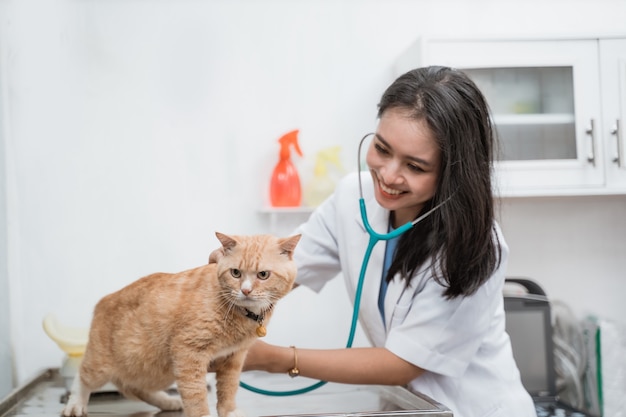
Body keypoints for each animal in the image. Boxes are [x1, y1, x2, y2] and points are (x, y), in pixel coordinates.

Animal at [62, 232, 302, 416]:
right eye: (236, 273)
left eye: (263, 274)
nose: (246, 290)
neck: (238, 314)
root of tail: (104, 299)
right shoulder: (188, 353)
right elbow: (195, 394)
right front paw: (203, 414)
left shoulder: (234, 359)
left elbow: (228, 389)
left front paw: (230, 411)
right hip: (103, 364)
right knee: (82, 378)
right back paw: (75, 405)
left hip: (156, 370)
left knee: (137, 388)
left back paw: (168, 401)